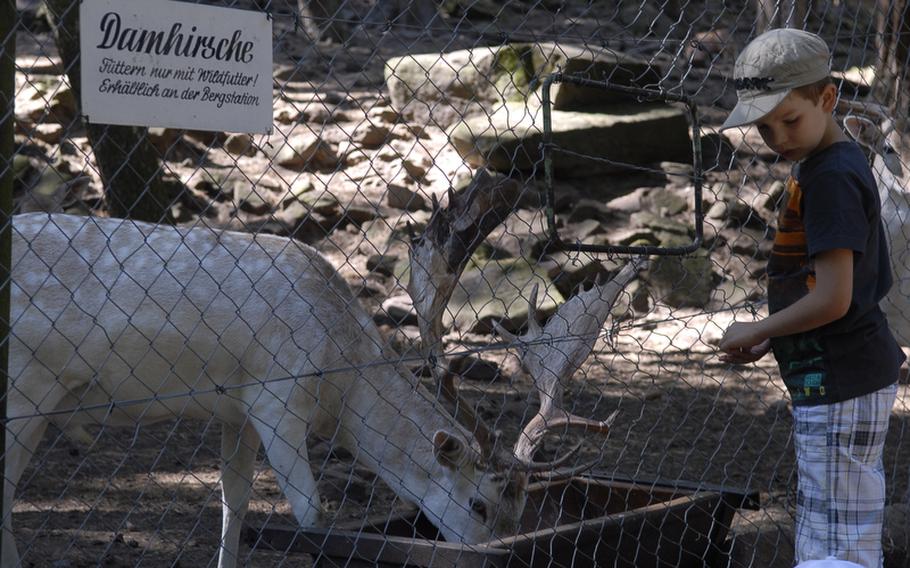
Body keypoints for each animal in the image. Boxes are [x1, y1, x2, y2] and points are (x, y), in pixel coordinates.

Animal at [7, 171, 644, 564]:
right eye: (480, 504)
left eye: (521, 513)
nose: (493, 552)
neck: (341, 377)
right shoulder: (276, 396)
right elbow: (311, 512)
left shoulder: (236, 408)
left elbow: (233, 504)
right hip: (25, 386)